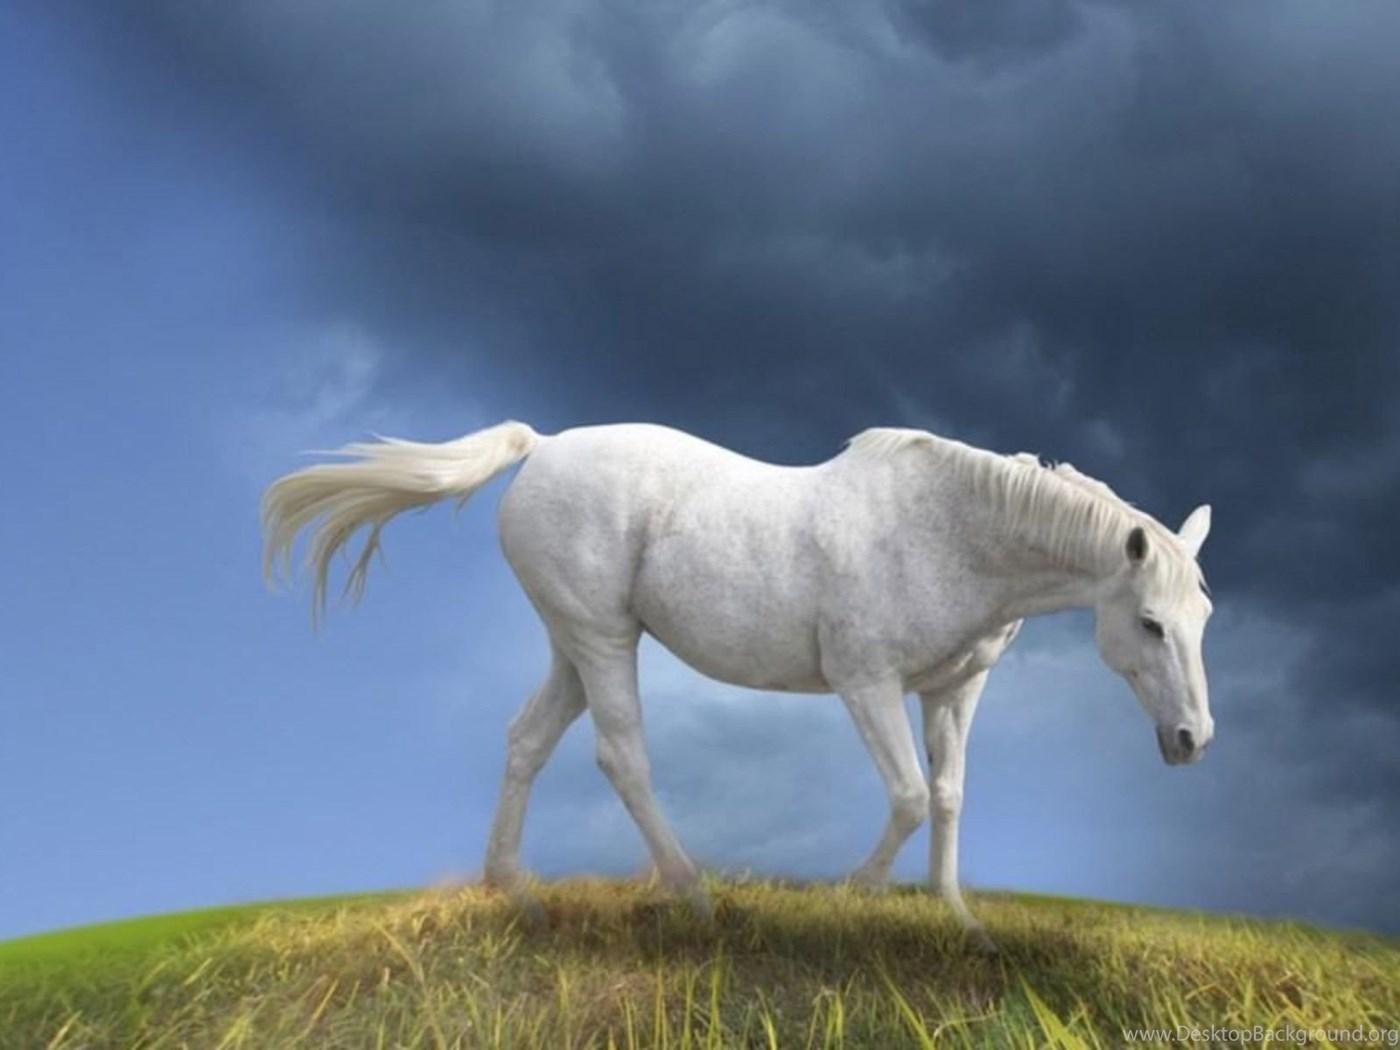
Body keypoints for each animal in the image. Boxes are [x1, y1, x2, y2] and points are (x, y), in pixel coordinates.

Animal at [261, 420, 1214, 951]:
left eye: (1203, 616)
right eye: (1150, 623)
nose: (1192, 741)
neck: (953, 532)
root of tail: (541, 449)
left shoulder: (953, 691)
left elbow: (946, 798)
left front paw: (961, 926)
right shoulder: (866, 682)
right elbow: (908, 796)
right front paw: (850, 898)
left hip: (572, 644)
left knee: (527, 740)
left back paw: (519, 897)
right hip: (603, 639)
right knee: (622, 757)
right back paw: (696, 899)